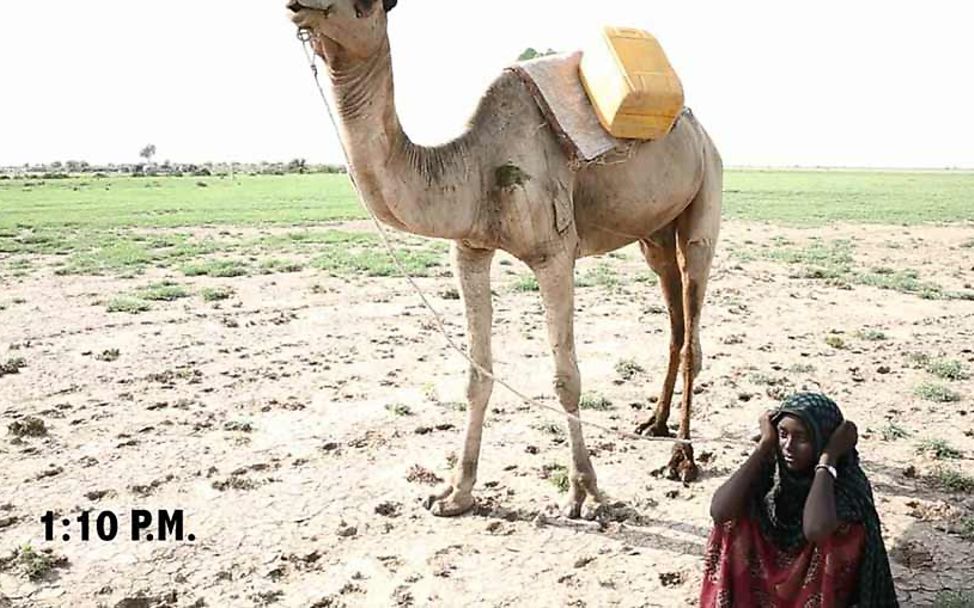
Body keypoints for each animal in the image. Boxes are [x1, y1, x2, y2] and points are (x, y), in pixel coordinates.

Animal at [286, 0, 720, 520]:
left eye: (365, 5)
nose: (300, 7)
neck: (473, 167)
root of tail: (696, 127)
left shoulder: (554, 254)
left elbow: (566, 378)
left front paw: (584, 492)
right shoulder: (470, 249)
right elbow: (477, 374)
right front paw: (455, 493)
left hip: (706, 194)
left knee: (693, 322)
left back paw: (682, 459)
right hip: (653, 234)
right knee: (674, 321)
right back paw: (654, 423)